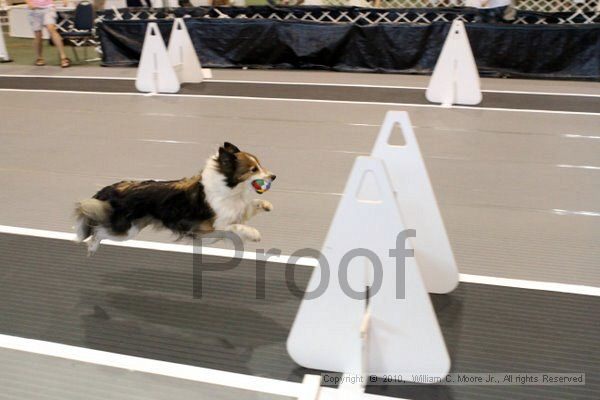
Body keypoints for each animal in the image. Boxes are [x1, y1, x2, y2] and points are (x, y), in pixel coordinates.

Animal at [75, 142, 278, 255]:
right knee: (98, 231)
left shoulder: (236, 211)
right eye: (253, 169)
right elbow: (235, 227)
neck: (229, 188)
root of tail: (112, 188)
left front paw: (266, 204)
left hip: (132, 229)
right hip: (124, 230)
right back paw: (91, 247)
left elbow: (250, 206)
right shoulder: (208, 230)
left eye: (260, 165)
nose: (274, 176)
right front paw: (254, 234)